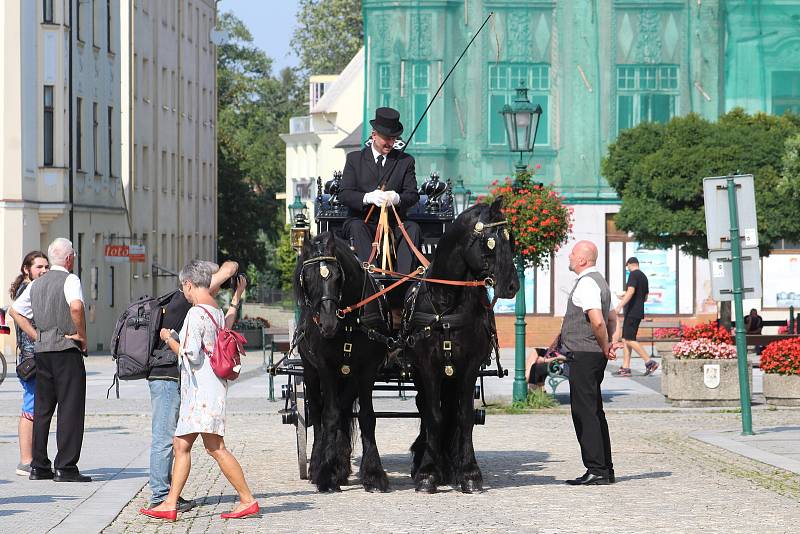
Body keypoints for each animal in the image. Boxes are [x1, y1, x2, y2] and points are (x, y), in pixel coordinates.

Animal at [294, 232, 394, 492]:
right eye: (307, 277)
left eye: (338, 276)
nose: (328, 323)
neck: (348, 322)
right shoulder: (325, 368)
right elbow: (329, 416)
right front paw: (325, 473)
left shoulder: (367, 370)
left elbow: (367, 417)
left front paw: (373, 474)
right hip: (310, 372)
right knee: (318, 413)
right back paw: (318, 463)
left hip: (349, 377)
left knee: (344, 407)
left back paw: (339, 462)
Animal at [404, 199, 520, 496]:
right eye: (490, 242)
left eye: (511, 240)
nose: (512, 286)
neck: (447, 304)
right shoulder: (429, 367)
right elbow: (434, 416)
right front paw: (427, 474)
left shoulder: (468, 367)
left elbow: (464, 416)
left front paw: (468, 472)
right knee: (426, 408)